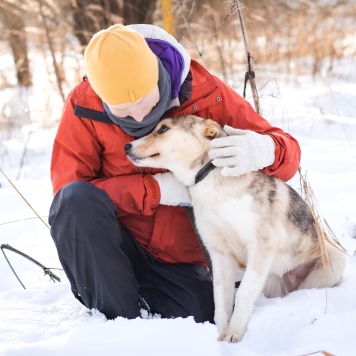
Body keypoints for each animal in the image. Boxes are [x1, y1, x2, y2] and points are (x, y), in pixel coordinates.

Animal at [124, 114, 344, 342]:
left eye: (163, 129)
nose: (126, 146)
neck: (209, 179)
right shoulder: (219, 253)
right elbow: (221, 299)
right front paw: (220, 334)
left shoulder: (261, 247)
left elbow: (244, 292)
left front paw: (234, 332)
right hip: (271, 281)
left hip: (330, 265)